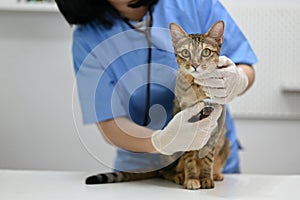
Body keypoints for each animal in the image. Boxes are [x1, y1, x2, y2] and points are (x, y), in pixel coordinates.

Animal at [84, 21, 230, 190]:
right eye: (185, 53)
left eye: (206, 52)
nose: (195, 64)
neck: (197, 88)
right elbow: (189, 158)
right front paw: (192, 178)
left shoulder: (214, 126)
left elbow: (207, 158)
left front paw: (206, 177)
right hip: (170, 155)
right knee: (165, 172)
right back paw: (178, 176)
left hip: (225, 142)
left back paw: (216, 174)